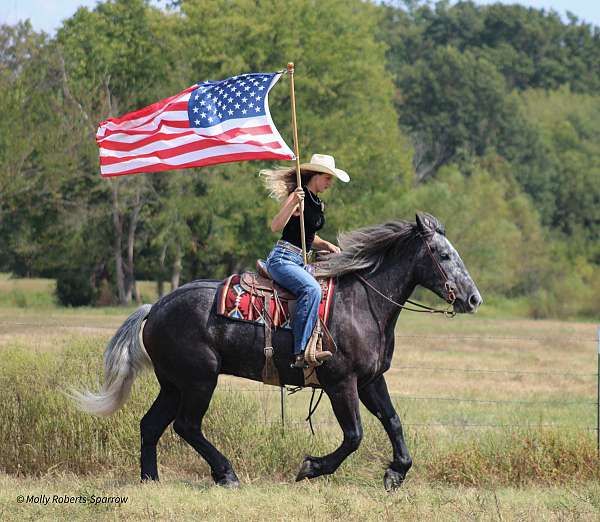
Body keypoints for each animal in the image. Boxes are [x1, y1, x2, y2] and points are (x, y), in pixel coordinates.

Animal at [71, 211, 482, 488]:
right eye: (444, 255)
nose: (473, 298)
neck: (363, 303)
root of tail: (154, 308)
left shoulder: (370, 381)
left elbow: (393, 421)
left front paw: (396, 473)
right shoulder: (341, 383)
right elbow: (354, 435)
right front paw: (311, 467)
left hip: (173, 383)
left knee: (152, 425)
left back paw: (151, 480)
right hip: (199, 380)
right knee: (186, 425)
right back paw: (226, 474)